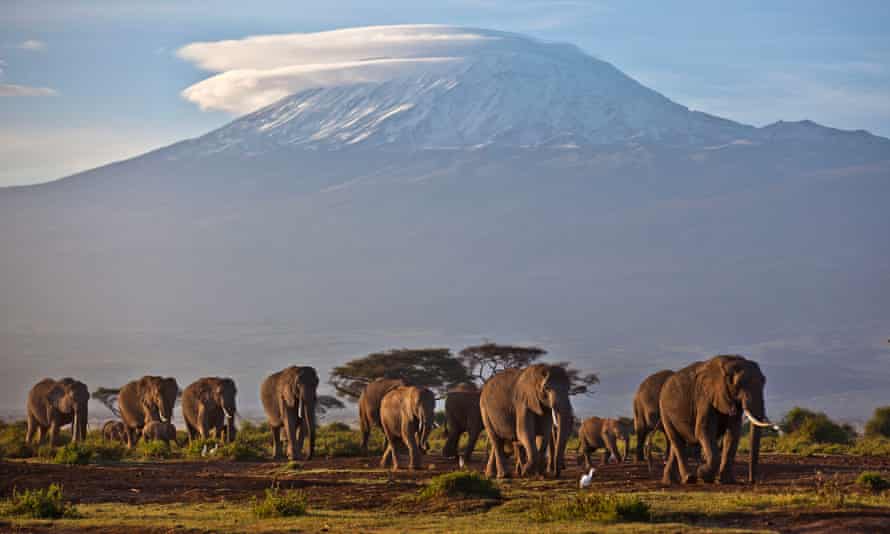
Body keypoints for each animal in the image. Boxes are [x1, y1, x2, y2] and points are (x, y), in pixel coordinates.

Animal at [659, 355, 774, 485]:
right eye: (738, 385)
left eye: (763, 381)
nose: (751, 481)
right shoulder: (705, 397)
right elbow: (704, 430)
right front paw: (703, 474)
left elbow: (733, 434)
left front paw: (726, 481)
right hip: (664, 411)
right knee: (677, 441)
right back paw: (689, 479)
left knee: (677, 444)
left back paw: (669, 481)